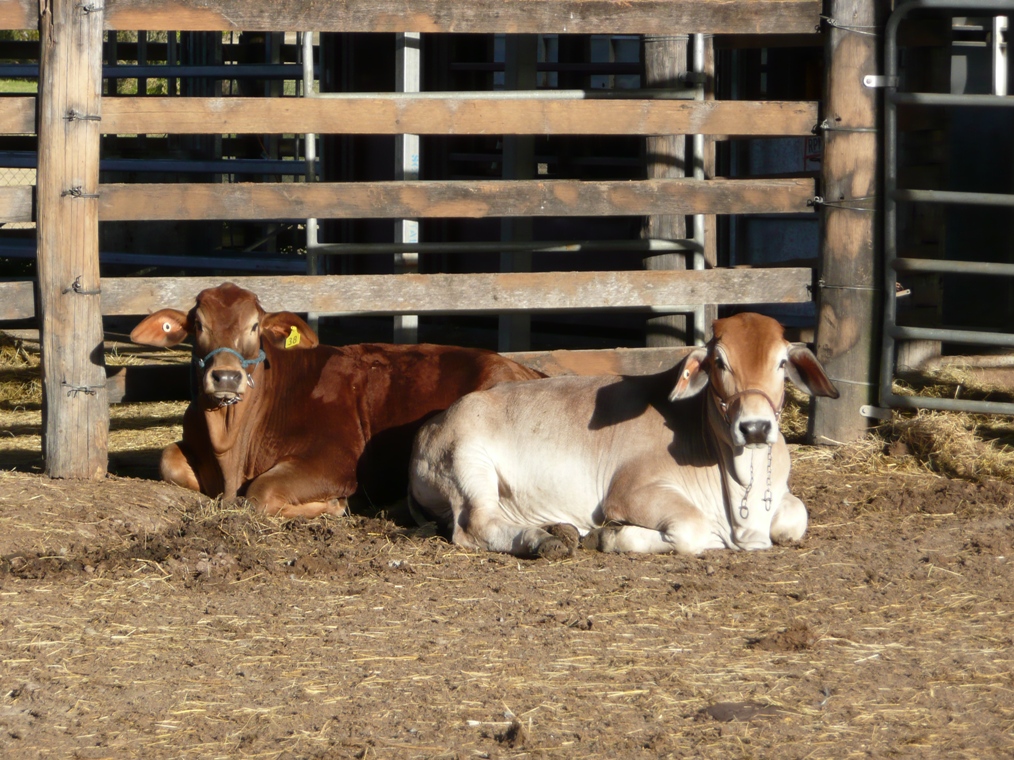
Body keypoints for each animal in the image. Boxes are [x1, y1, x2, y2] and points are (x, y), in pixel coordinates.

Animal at [130, 282, 542, 517]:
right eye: (198, 325)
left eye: (254, 326)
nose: (227, 376)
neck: (230, 446)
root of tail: (522, 368)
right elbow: (167, 460)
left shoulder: (334, 461)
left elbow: (261, 493)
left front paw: (331, 505)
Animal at [408, 312, 839, 559]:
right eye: (719, 362)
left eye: (781, 363)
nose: (755, 427)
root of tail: (431, 425)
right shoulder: (631, 492)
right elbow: (693, 530)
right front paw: (609, 536)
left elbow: (796, 516)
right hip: (467, 464)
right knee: (475, 526)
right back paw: (543, 541)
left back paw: (560, 531)